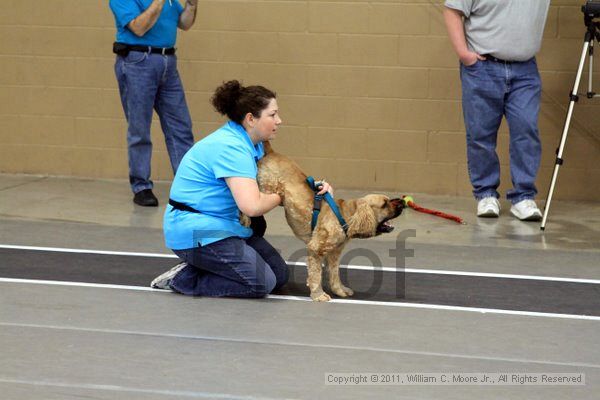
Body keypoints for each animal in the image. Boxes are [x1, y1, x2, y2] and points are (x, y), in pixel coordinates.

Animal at [254, 142, 400, 302]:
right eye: (384, 204)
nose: (401, 204)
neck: (345, 216)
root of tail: (272, 152)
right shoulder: (315, 249)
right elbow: (316, 275)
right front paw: (318, 294)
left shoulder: (333, 253)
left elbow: (335, 274)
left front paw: (340, 290)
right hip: (266, 189)